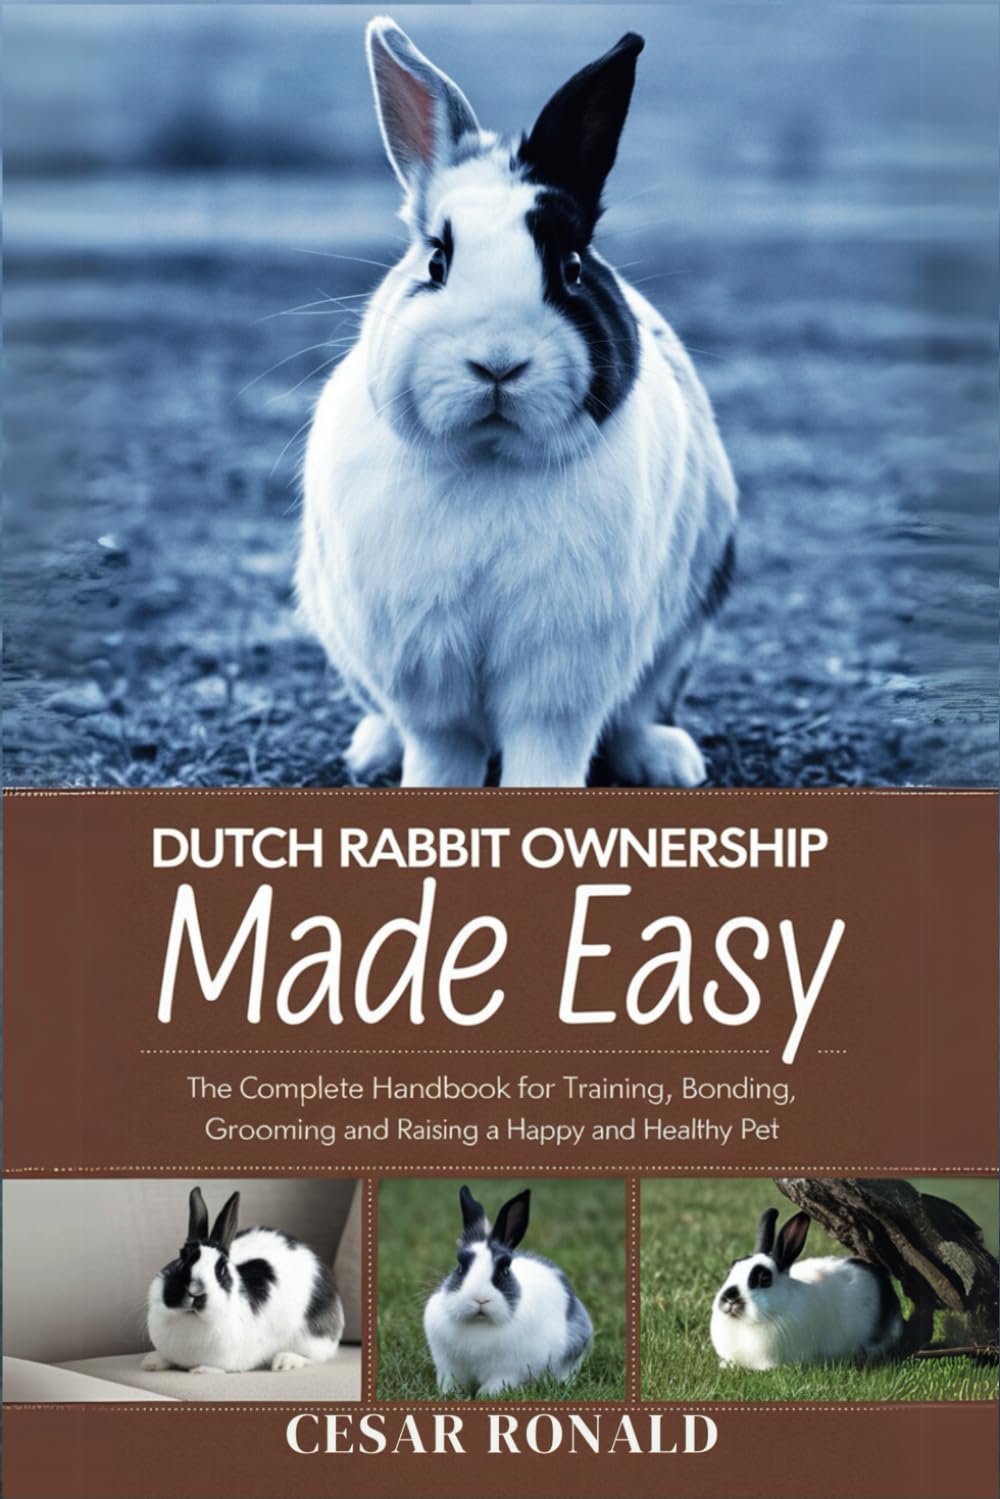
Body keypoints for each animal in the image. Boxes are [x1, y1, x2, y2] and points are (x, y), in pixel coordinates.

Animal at [142, 1187, 344, 1374]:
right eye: (182, 1258)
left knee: (318, 1356)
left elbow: (216, 1368)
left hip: (313, 1338)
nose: (195, 1291)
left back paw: (285, 1361)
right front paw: (151, 1362)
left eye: (221, 1270)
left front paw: (201, 1370)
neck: (190, 1317)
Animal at [298, 17, 737, 788]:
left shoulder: (561, 672)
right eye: (436, 260)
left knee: (636, 713)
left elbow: (548, 748)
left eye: (572, 269)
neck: (491, 457)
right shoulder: (425, 671)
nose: (498, 360)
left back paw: (668, 761)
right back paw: (372, 751)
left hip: (682, 629)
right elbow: (440, 749)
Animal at [423, 1186, 593, 1395]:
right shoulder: (449, 1367)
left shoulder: (508, 1370)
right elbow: (451, 1382)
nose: (480, 1299)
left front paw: (485, 1396)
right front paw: (449, 1394)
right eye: (460, 1266)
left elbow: (497, 1384)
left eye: (504, 1270)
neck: (479, 1324)